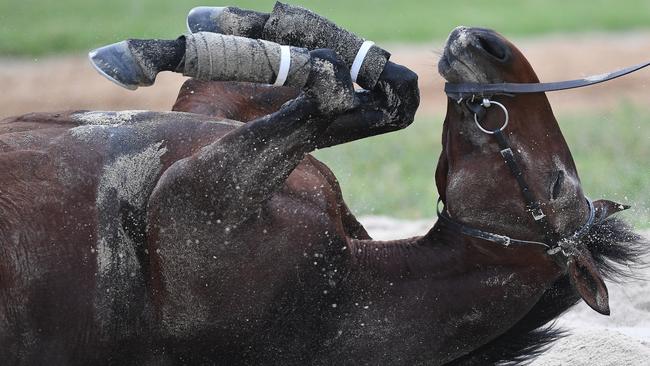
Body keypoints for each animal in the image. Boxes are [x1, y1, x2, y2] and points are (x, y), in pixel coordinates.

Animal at [0, 7, 640, 364]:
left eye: (557, 187)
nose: (490, 44)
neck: (348, 289)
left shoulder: (196, 206)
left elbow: (331, 90)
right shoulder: (213, 114)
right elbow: (394, 96)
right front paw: (222, 22)